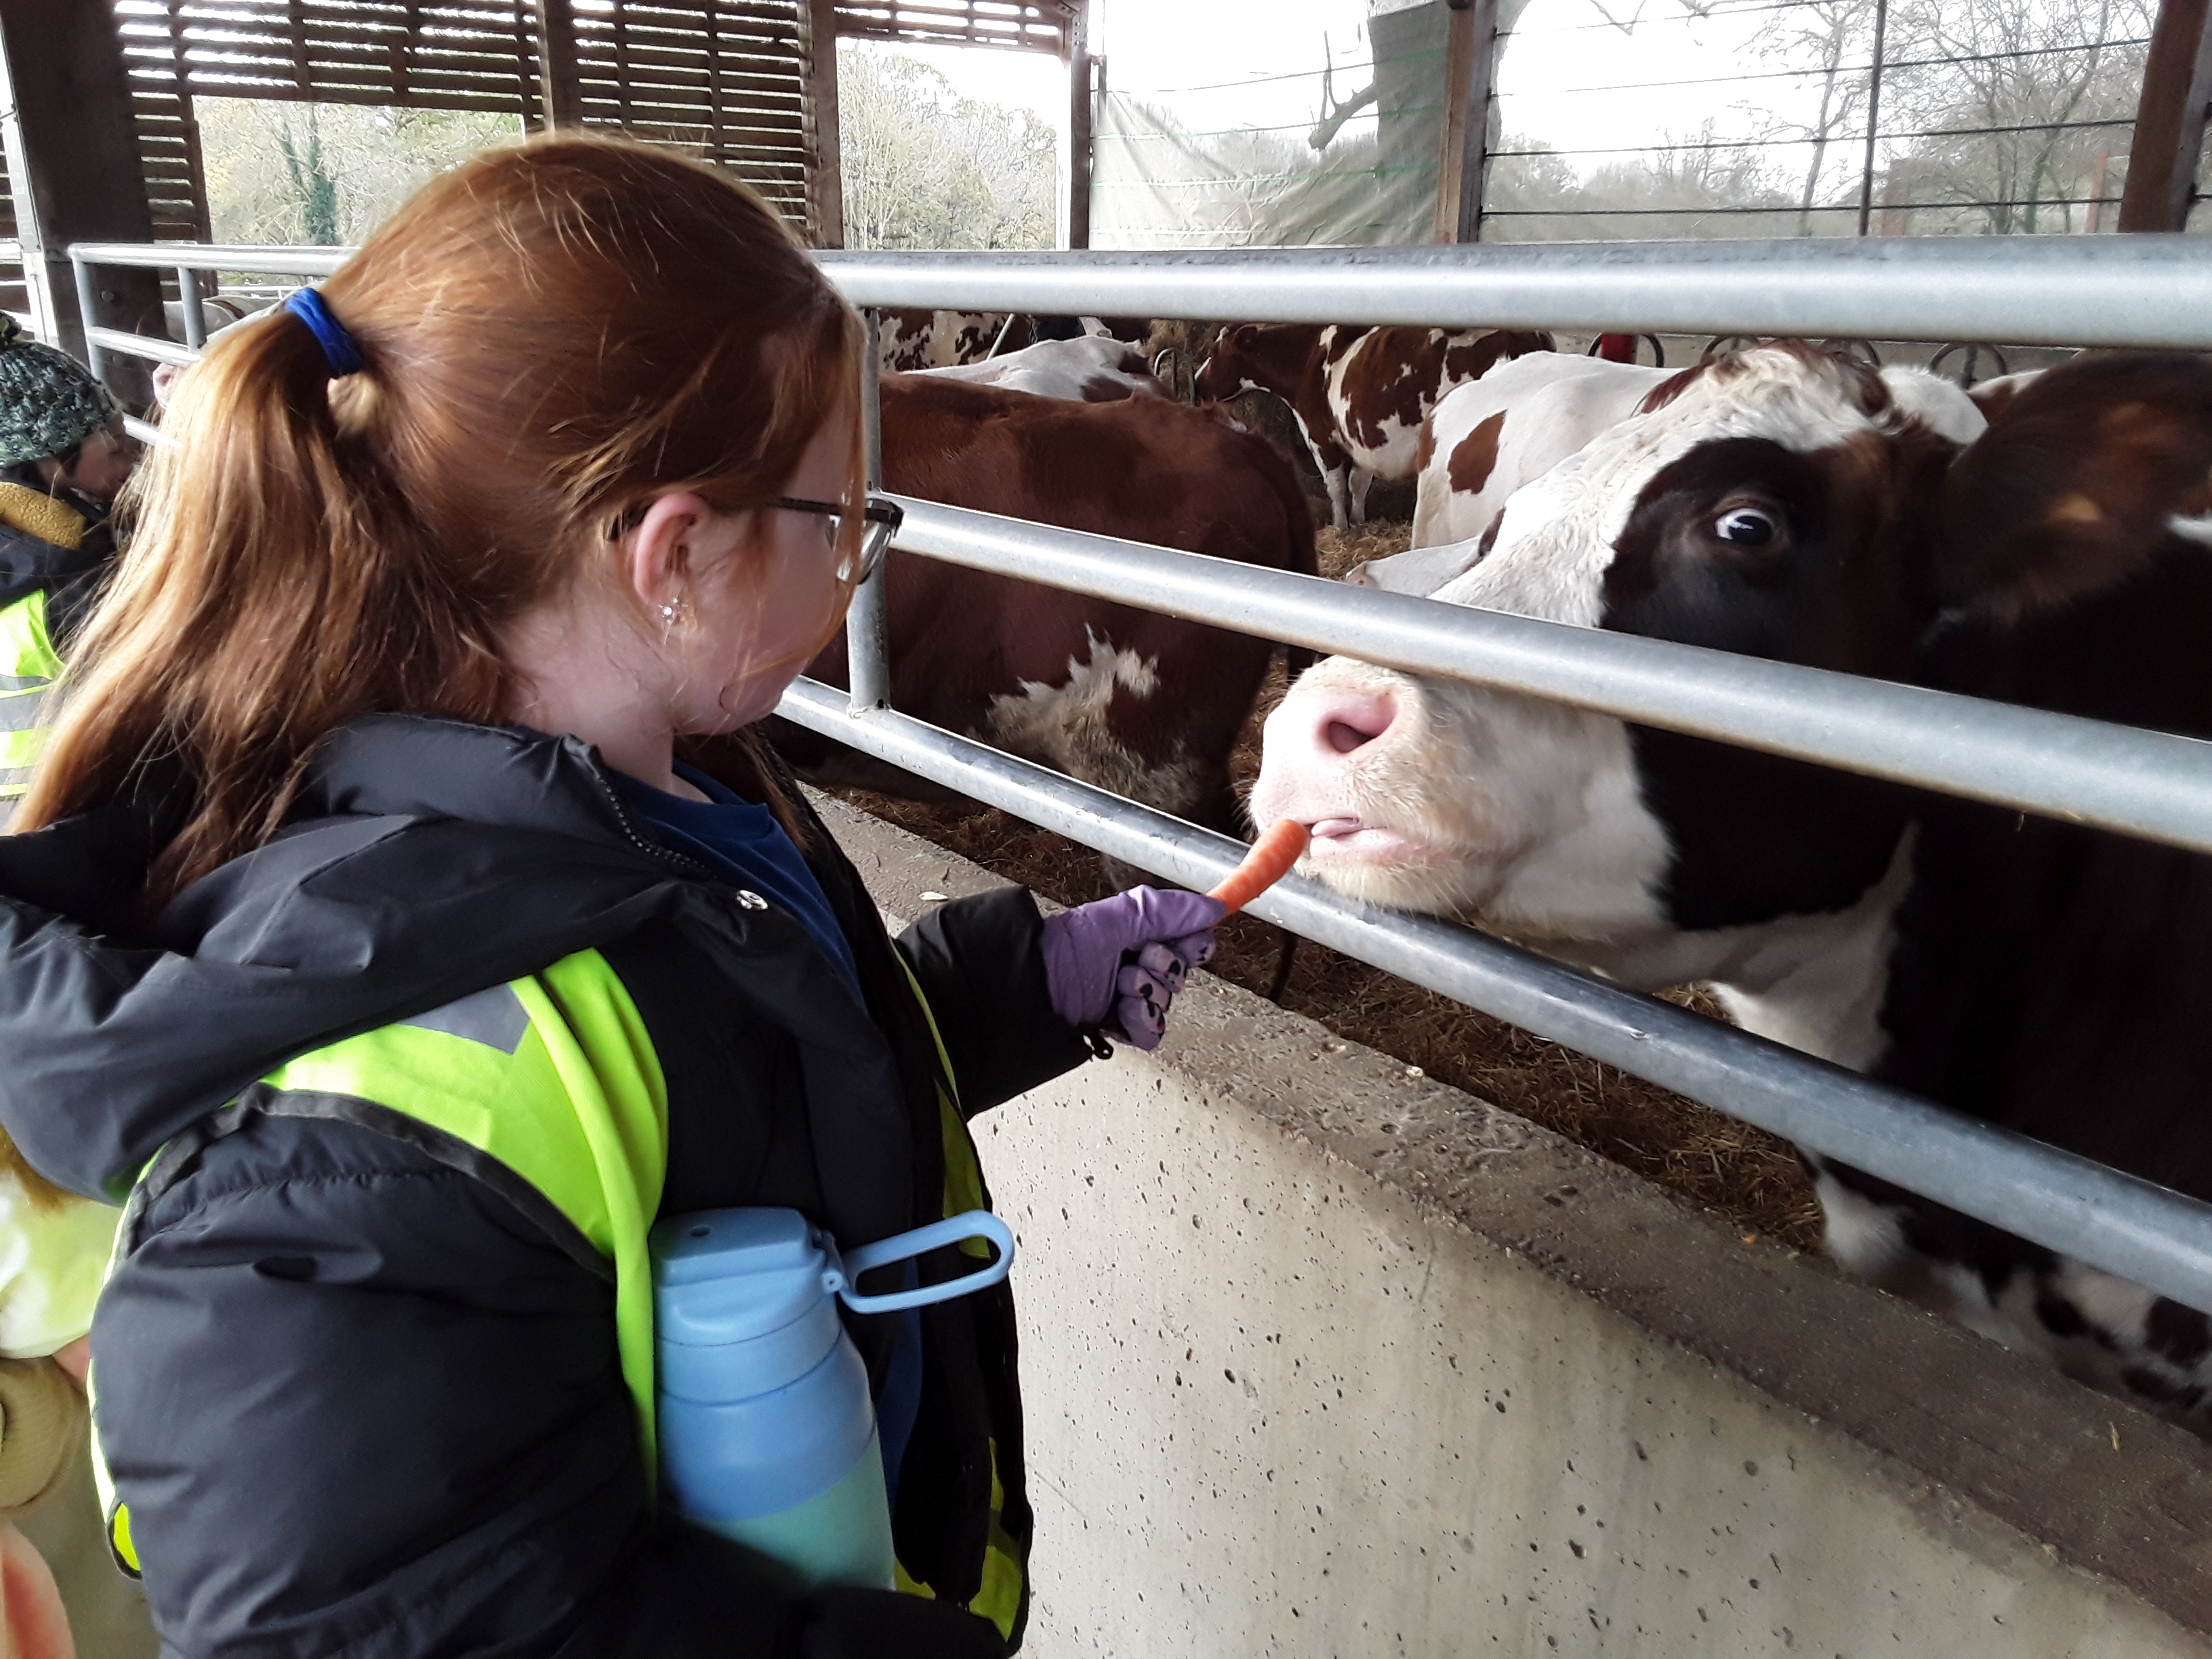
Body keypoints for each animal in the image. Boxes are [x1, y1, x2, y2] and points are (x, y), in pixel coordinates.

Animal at [1192, 323, 1555, 531]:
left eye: (1215, 350)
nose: (1196, 383)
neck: (1307, 358)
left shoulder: (1321, 436)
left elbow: (1336, 486)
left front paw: (1340, 527)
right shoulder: (1362, 437)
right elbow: (1359, 484)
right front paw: (1358, 521)